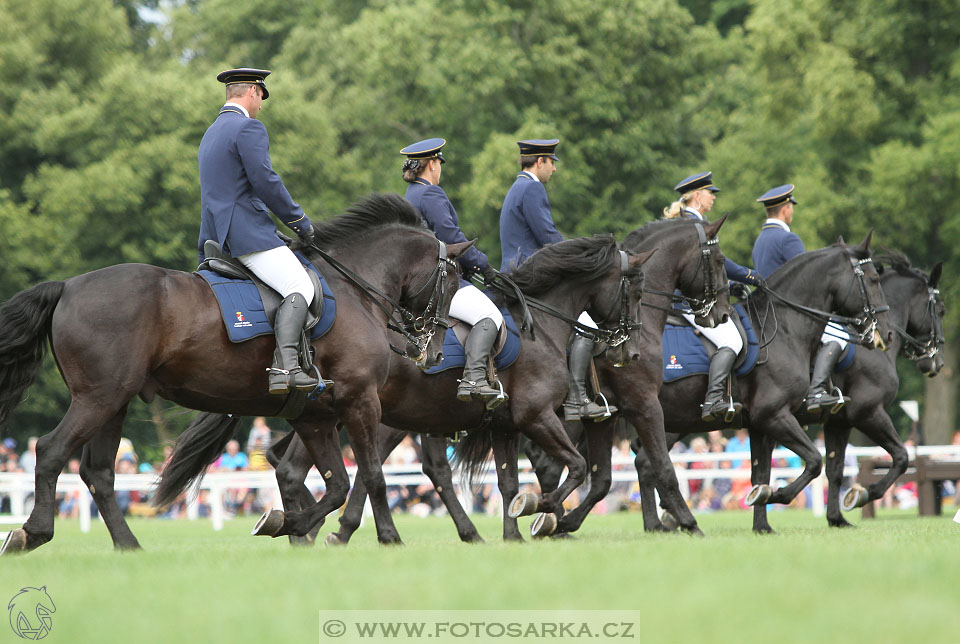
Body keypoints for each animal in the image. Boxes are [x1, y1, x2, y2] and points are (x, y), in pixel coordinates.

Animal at [0, 192, 464, 552]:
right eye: (453, 281)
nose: (432, 351)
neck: (355, 289)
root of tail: (68, 286)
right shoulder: (360, 401)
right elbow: (371, 477)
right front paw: (388, 538)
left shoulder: (316, 416)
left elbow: (336, 485)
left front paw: (288, 525)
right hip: (98, 397)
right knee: (51, 451)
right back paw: (32, 533)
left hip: (113, 403)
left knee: (97, 472)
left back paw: (128, 546)